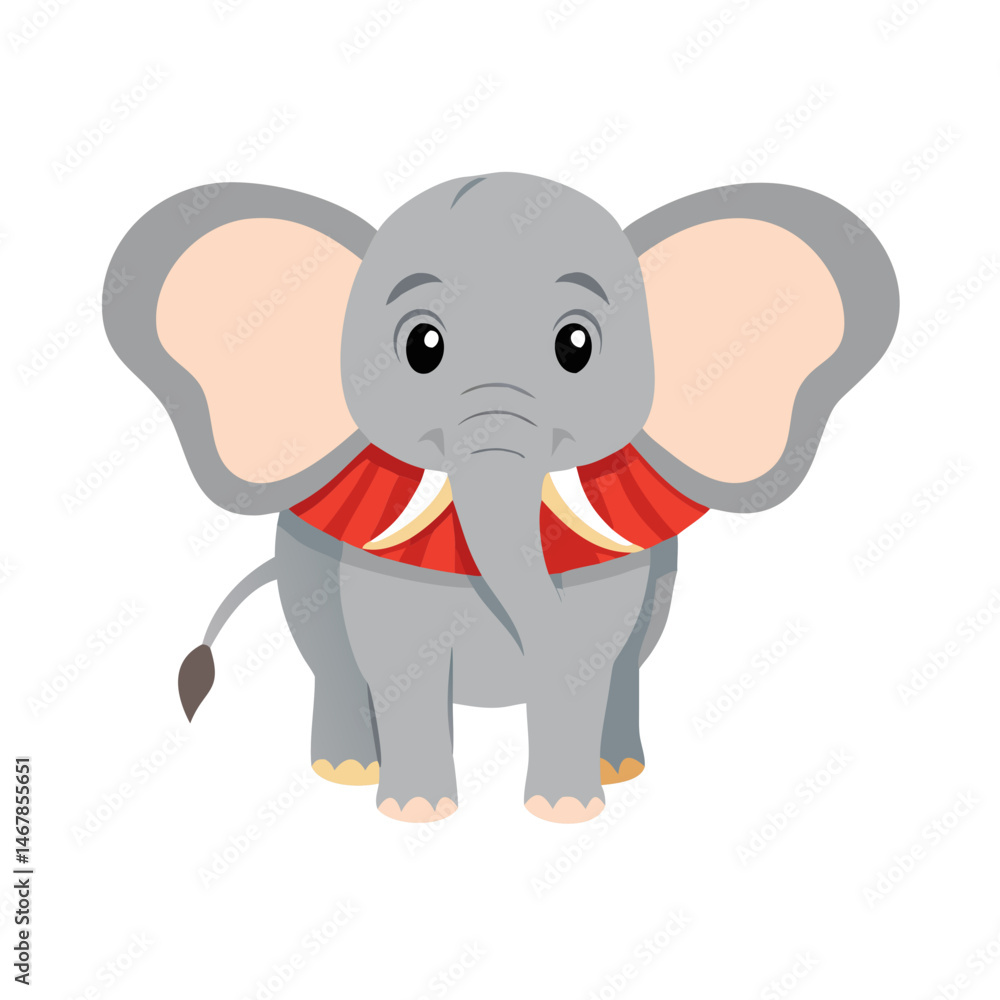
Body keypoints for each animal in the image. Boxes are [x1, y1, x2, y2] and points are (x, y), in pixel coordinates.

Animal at [102, 173, 898, 824]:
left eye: (576, 346)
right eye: (421, 347)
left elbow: (594, 651)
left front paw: (566, 813)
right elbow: (399, 656)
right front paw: (418, 814)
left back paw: (619, 768)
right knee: (333, 661)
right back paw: (349, 771)